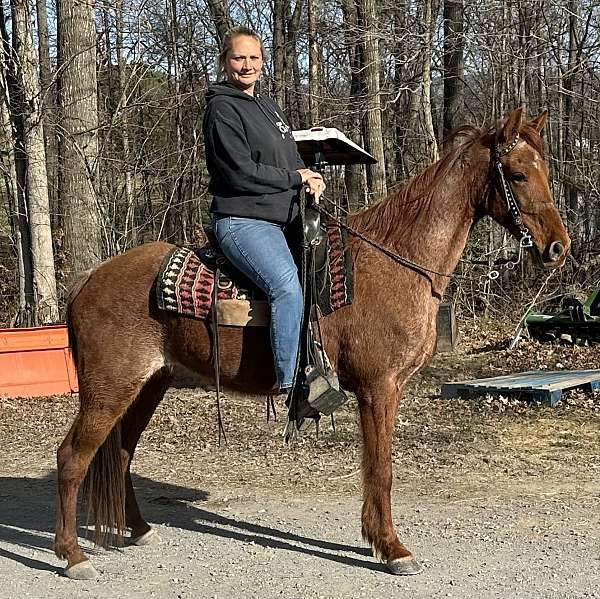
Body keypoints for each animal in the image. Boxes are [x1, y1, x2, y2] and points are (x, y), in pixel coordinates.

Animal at [55, 109, 568, 580]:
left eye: (544, 169)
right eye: (518, 174)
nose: (558, 248)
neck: (396, 261)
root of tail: (88, 279)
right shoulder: (378, 389)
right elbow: (380, 470)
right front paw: (391, 548)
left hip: (148, 385)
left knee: (120, 453)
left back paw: (138, 530)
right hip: (109, 390)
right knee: (73, 457)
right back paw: (72, 556)